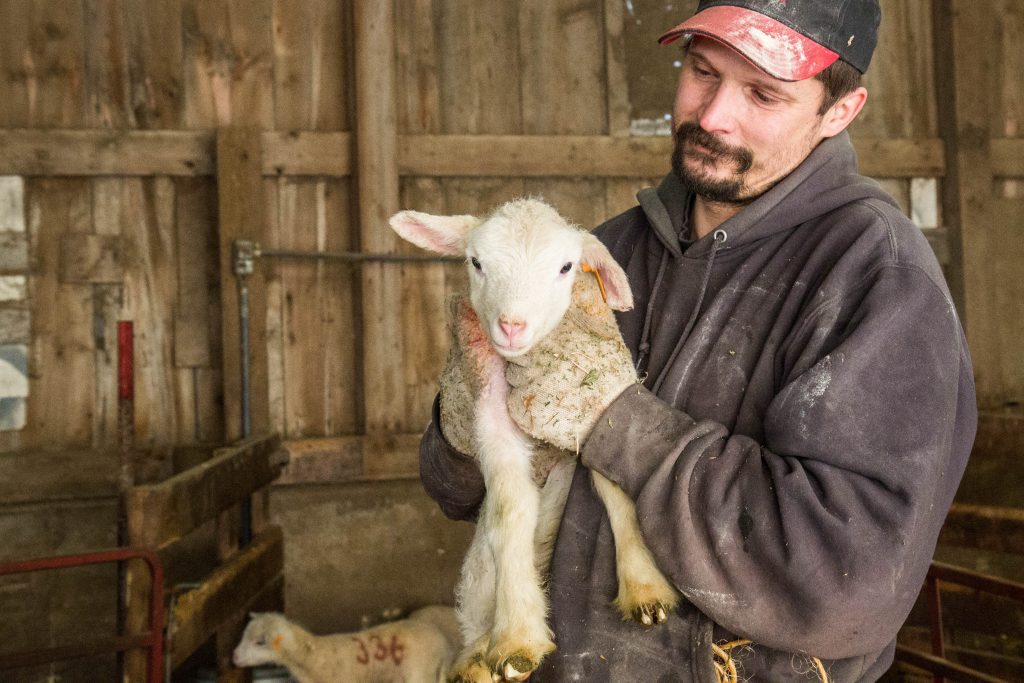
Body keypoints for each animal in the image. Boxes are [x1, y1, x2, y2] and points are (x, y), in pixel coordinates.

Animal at [389, 198, 679, 683]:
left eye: (565, 267)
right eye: (476, 262)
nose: (511, 326)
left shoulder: (590, 412)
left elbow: (615, 484)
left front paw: (644, 587)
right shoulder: (489, 409)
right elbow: (509, 509)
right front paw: (517, 637)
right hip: (477, 581)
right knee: (475, 622)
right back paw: (477, 660)